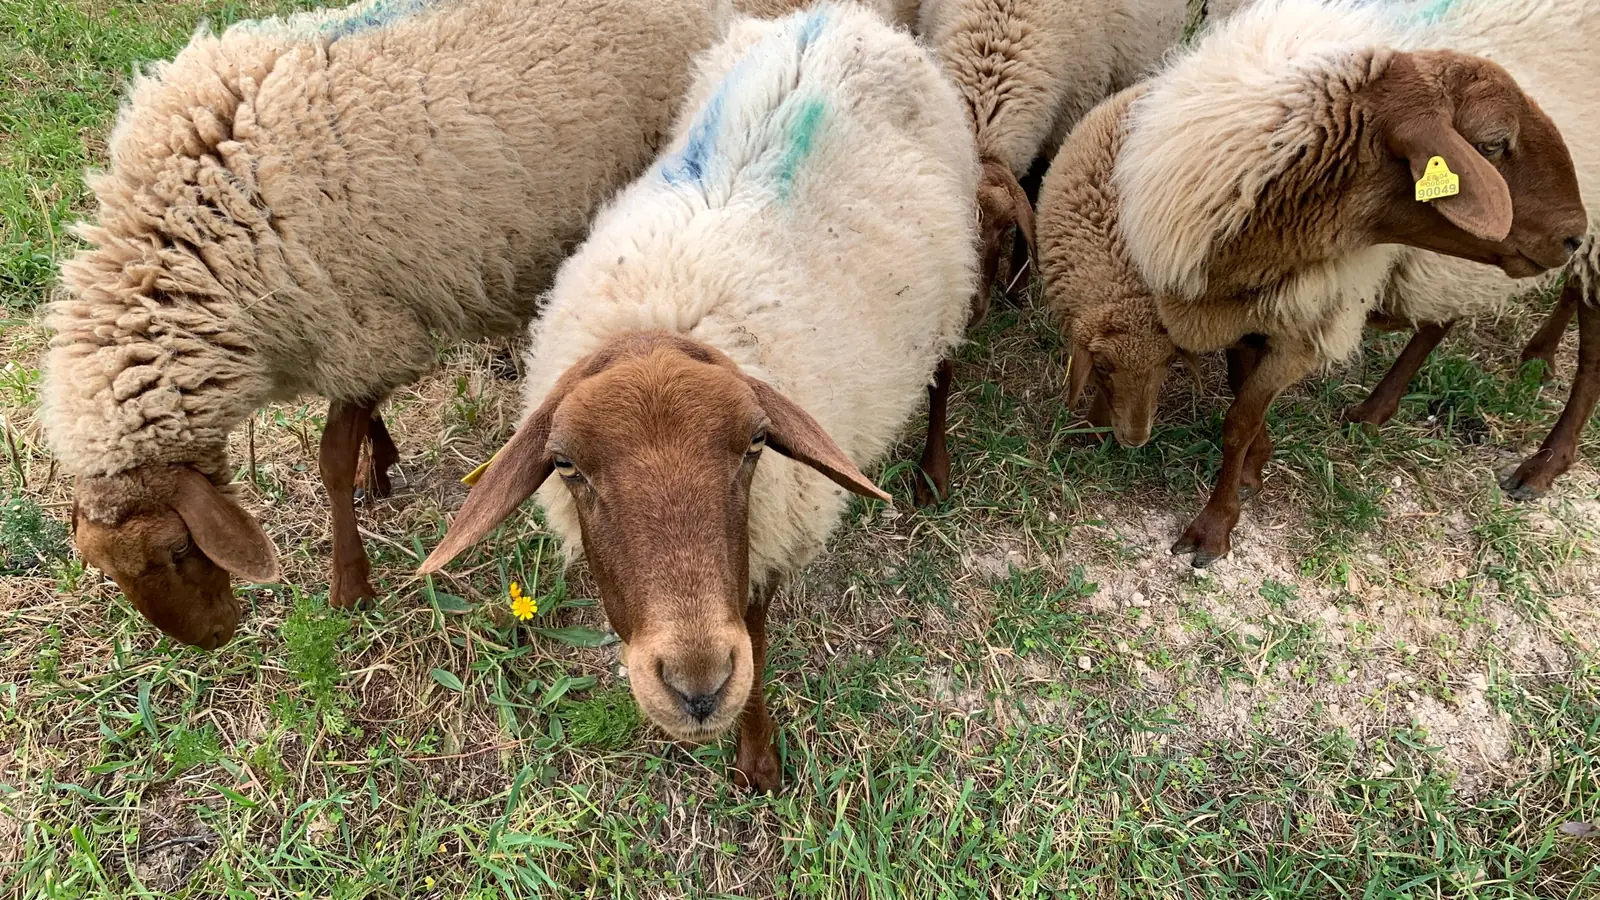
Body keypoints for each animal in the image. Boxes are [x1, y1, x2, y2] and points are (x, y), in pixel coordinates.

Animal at [43, 0, 723, 649]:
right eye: (106, 569)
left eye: (180, 548)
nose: (212, 639)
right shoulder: (362, 318)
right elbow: (360, 426)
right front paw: (382, 465)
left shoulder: (359, 328)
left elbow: (332, 459)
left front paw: (351, 585)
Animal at [417, 2, 979, 791]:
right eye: (567, 466)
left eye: (755, 444)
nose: (698, 689)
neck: (668, 308)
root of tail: (846, 17)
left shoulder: (770, 533)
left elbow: (760, 642)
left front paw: (758, 759)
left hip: (954, 275)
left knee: (944, 371)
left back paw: (933, 472)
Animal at [1110, 0, 1588, 566]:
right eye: (1492, 144)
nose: (1573, 234)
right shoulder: (1251, 308)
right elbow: (1240, 387)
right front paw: (1256, 465)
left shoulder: (1309, 323)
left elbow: (1238, 419)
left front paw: (1216, 524)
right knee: (1446, 316)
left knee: (1592, 351)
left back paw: (1543, 464)